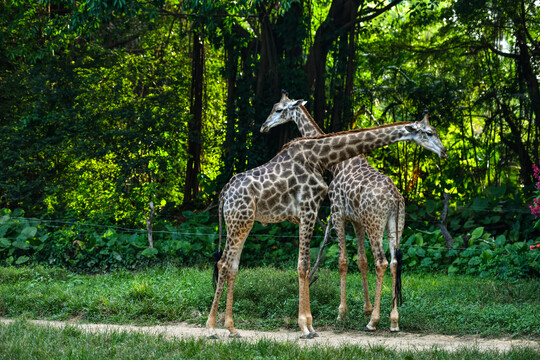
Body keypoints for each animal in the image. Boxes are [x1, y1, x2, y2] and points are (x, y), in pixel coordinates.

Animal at [207, 97, 448, 338]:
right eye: (428, 133)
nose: (444, 152)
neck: (322, 157)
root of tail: (223, 193)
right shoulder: (317, 210)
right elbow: (311, 264)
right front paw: (308, 325)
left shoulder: (314, 213)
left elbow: (308, 265)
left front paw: (310, 324)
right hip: (239, 221)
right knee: (224, 264)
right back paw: (211, 328)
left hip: (244, 223)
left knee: (232, 266)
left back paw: (231, 328)